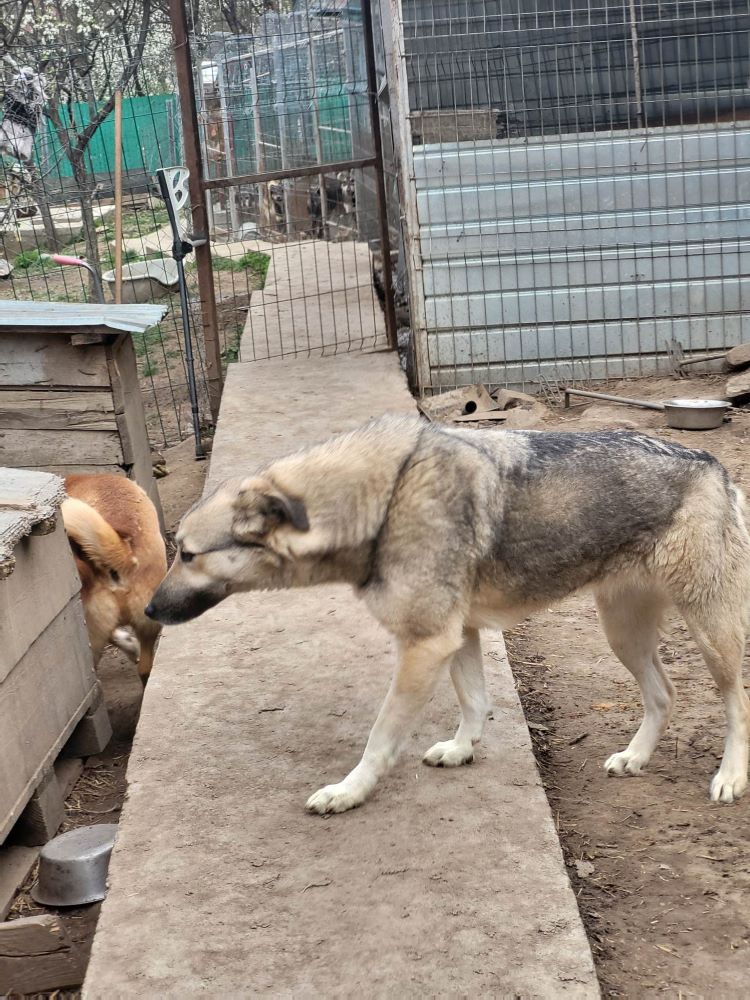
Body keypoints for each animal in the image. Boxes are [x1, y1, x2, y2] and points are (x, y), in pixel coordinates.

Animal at [145, 414, 750, 812]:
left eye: (188, 554)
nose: (149, 610)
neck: (386, 498)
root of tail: (715, 466)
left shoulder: (425, 645)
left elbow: (380, 736)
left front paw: (349, 791)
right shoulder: (457, 636)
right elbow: (475, 703)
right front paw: (462, 750)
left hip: (709, 633)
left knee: (736, 702)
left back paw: (730, 776)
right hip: (622, 632)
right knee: (663, 693)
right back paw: (636, 757)